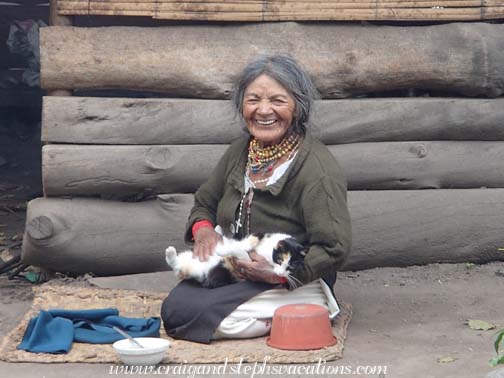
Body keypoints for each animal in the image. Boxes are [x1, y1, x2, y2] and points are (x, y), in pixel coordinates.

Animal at [166, 230, 308, 290]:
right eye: (279, 259)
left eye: (291, 267)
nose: (281, 273)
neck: (267, 253)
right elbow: (243, 242)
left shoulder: (245, 262)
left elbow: (239, 250)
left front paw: (222, 250)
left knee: (176, 265)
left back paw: (170, 252)